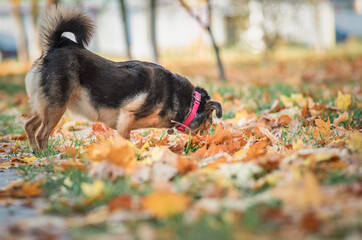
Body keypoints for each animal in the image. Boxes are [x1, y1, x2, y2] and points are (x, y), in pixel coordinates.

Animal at [24, 6, 221, 150]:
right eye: (209, 123)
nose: (210, 141)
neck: (184, 100)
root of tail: (57, 45)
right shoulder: (127, 116)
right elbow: (125, 140)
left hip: (48, 107)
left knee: (29, 125)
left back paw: (35, 153)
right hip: (56, 107)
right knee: (42, 134)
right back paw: (47, 156)